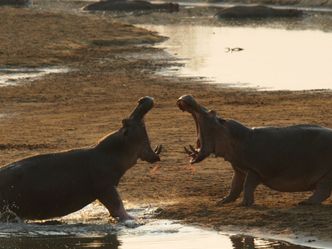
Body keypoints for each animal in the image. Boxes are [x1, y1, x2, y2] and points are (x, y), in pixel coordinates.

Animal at [0, 96, 161, 221]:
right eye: (127, 121)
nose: (143, 99)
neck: (111, 152)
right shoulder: (106, 187)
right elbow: (117, 206)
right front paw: (133, 220)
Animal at [178, 95, 332, 206]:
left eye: (212, 112)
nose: (188, 97)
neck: (236, 137)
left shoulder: (254, 170)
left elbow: (247, 185)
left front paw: (244, 204)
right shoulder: (239, 169)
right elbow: (234, 186)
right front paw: (222, 201)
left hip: (326, 175)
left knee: (323, 190)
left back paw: (304, 202)